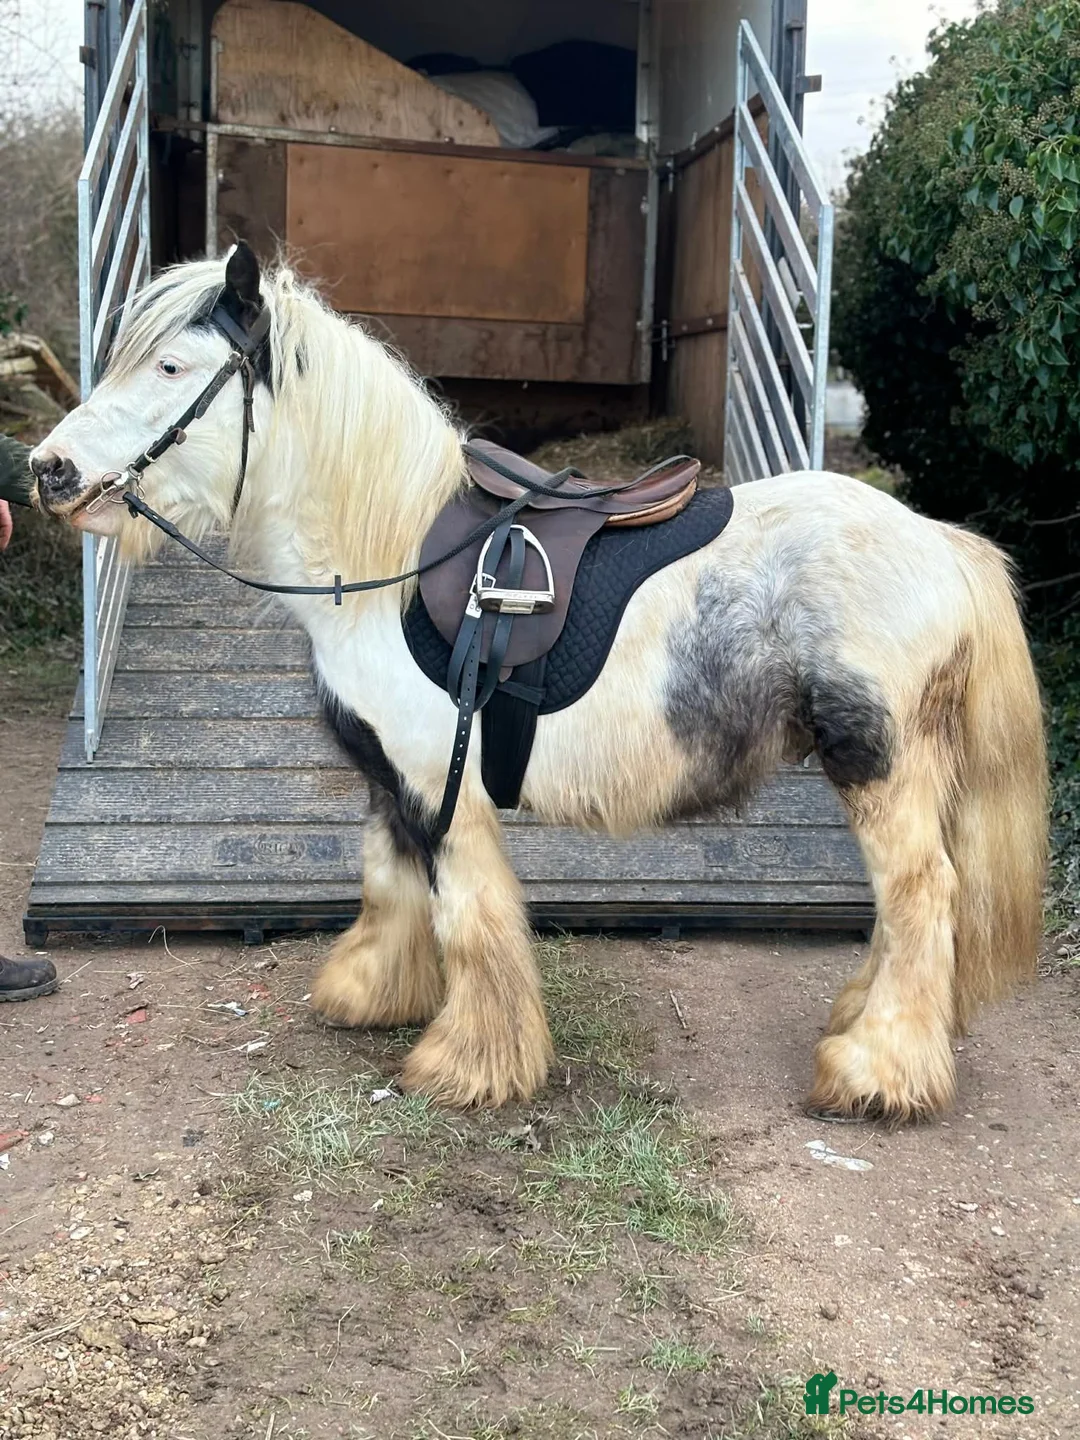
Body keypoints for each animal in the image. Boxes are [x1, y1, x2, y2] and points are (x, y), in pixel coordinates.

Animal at [30, 243, 1048, 1118]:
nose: (47, 470)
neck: (391, 563)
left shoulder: (446, 787)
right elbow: (390, 884)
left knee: (921, 892)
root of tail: (939, 542)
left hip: (879, 763)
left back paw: (876, 1070)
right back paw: (862, 1024)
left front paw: (470, 1065)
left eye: (170, 367)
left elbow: (469, 918)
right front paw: (372, 992)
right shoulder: (390, 779)